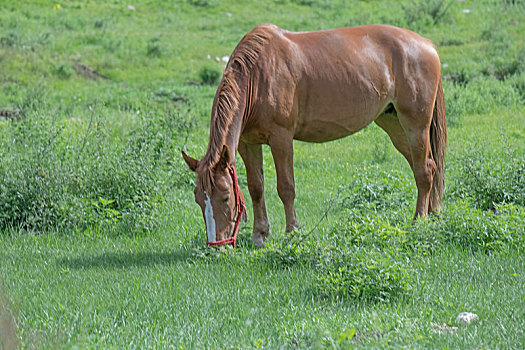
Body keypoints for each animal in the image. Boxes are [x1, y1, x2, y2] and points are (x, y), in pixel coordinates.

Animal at [182, 23, 444, 246]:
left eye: (225, 197)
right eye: (198, 198)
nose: (217, 247)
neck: (258, 75)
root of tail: (428, 45)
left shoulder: (281, 138)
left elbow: (286, 188)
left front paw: (292, 234)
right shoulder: (248, 144)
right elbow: (256, 188)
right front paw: (260, 236)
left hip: (415, 125)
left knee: (423, 171)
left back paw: (419, 221)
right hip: (394, 125)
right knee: (428, 167)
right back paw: (433, 215)